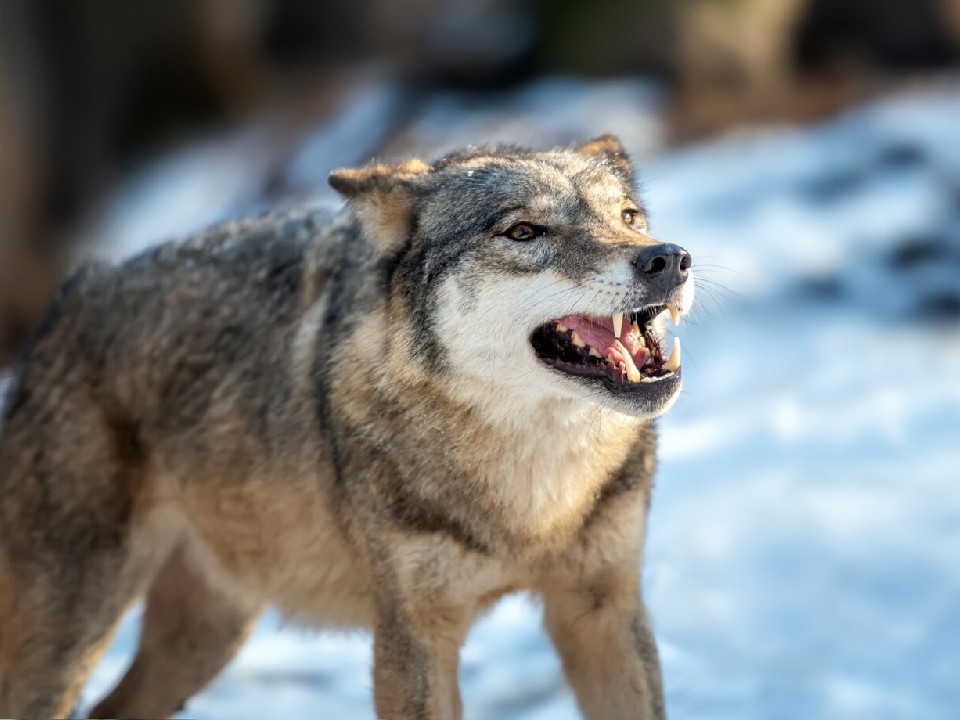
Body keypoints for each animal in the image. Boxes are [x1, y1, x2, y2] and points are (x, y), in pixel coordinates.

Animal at [0, 136, 692, 720]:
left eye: (629, 216)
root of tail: (69, 299)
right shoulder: (412, 635)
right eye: (524, 231)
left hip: (205, 635)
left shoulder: (605, 612)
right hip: (74, 634)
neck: (533, 503)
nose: (668, 258)